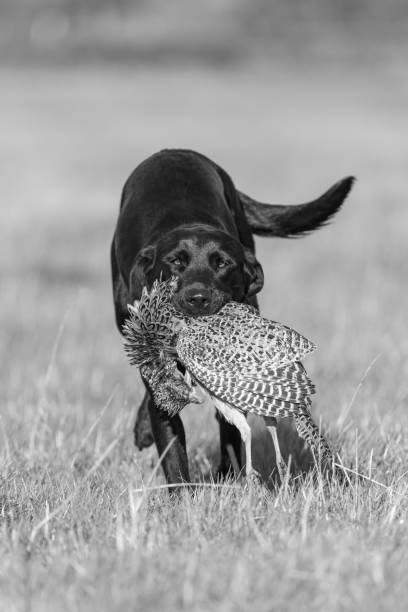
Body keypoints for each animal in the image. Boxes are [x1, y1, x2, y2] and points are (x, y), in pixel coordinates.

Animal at [111, 148, 354, 482]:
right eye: (175, 261)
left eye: (222, 263)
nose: (197, 299)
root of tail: (174, 151)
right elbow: (172, 447)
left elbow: (230, 428)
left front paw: (230, 472)